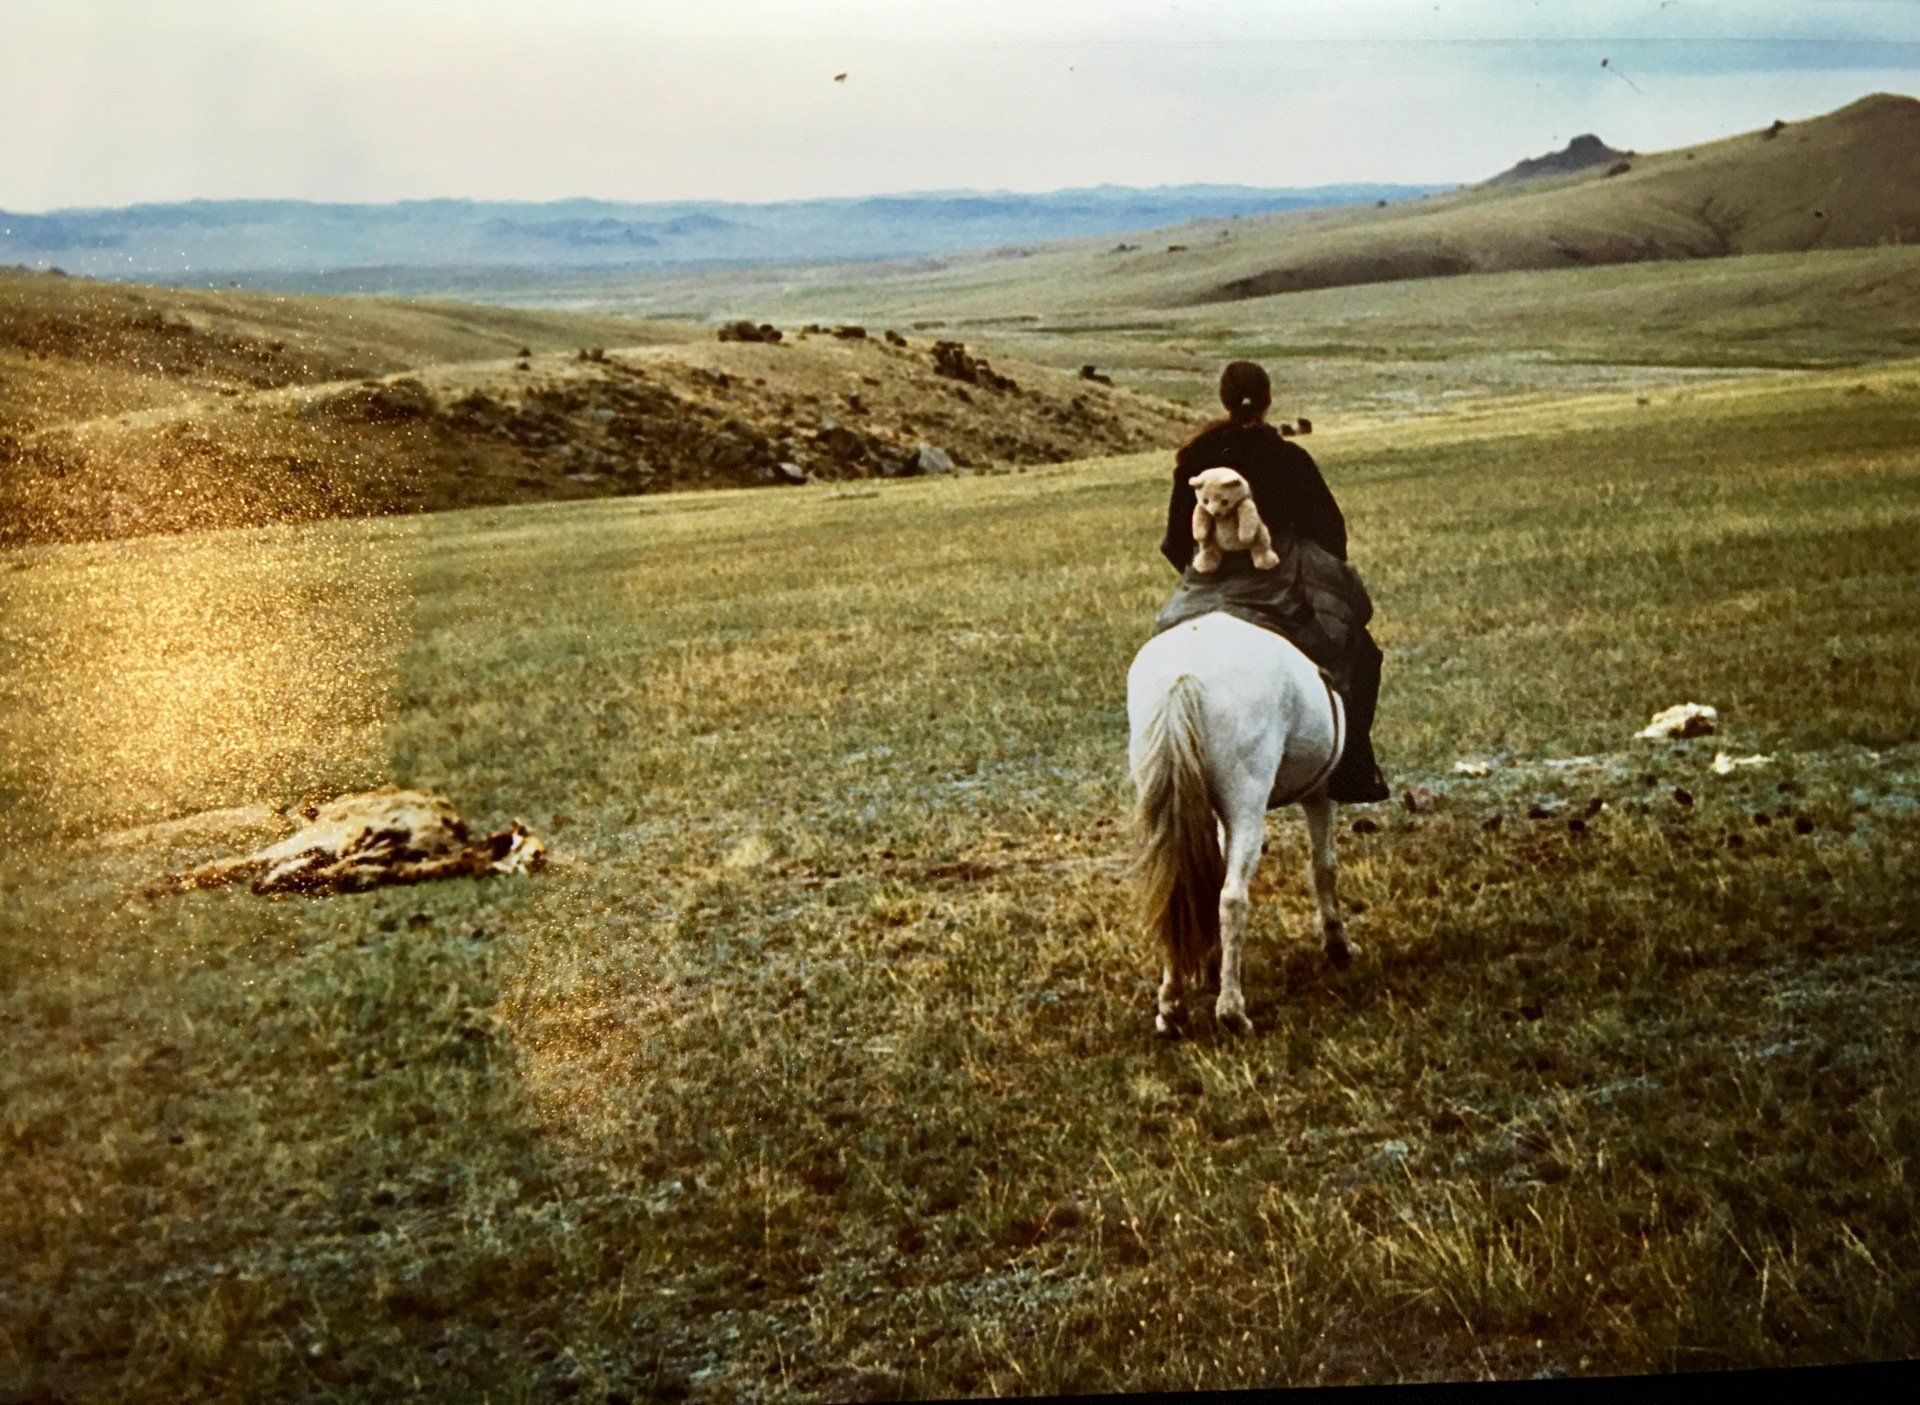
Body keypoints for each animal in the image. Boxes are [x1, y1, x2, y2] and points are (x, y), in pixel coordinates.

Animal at [1126, 610, 1355, 1037]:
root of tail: (1183, 675)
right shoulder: (1321, 794)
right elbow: (1324, 867)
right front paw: (1338, 946)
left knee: (1172, 889)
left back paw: (1172, 1007)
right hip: (1247, 804)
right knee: (1232, 898)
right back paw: (1232, 1011)